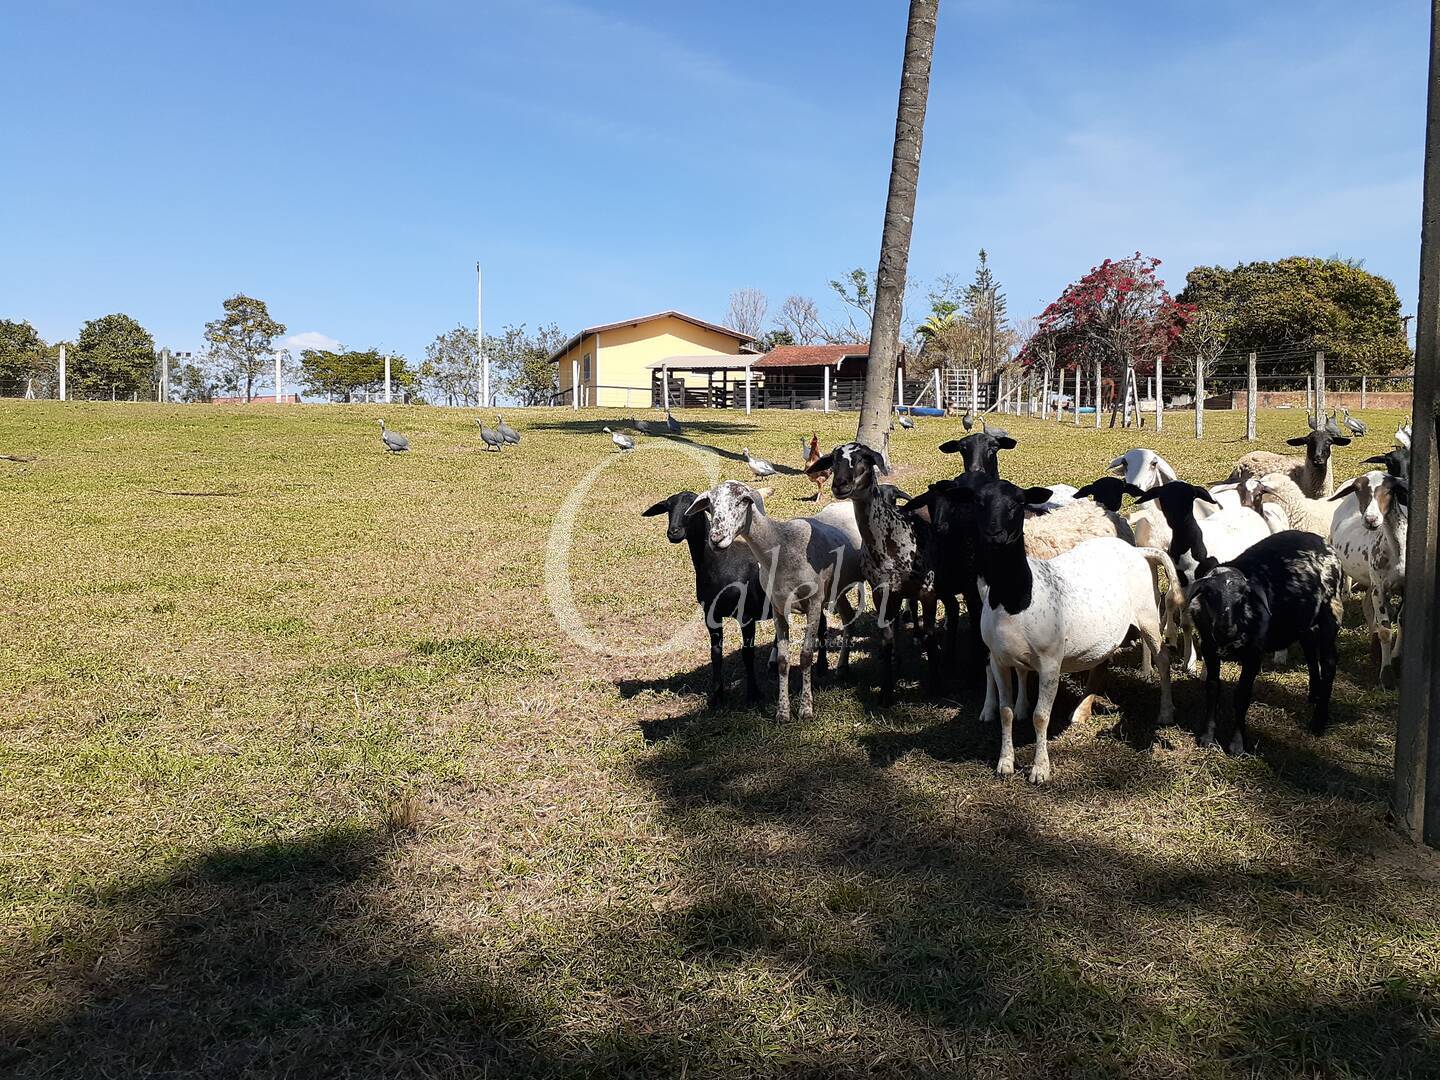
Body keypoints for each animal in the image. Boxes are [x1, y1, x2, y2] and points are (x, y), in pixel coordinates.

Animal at [1324, 469, 1405, 688]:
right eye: (1359, 490)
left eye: (1389, 489)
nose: (1370, 519)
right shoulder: (1380, 587)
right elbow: (1385, 629)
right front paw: (1386, 676)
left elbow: (1401, 619)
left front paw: (1396, 658)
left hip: (1368, 579)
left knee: (1367, 606)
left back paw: (1373, 645)